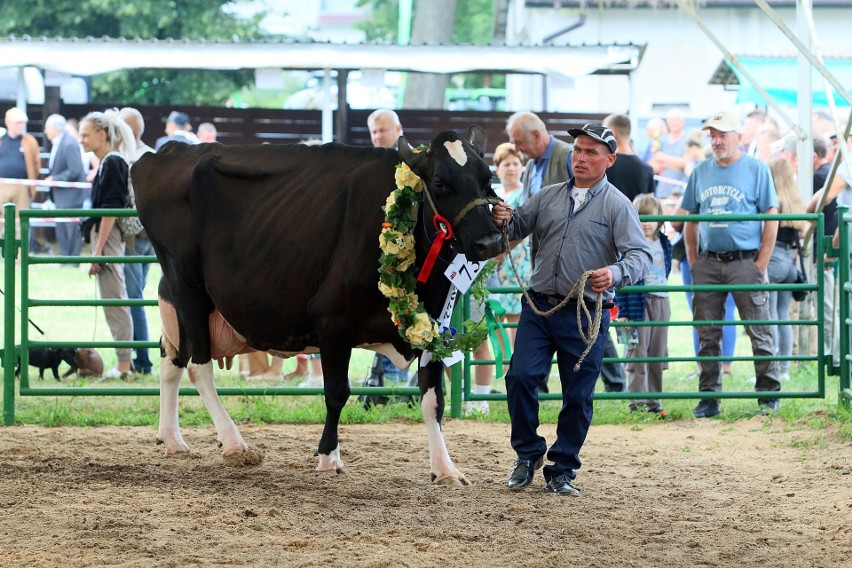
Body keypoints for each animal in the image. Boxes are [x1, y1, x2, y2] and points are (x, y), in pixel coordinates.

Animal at [133, 127, 506, 484]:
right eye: (440, 183)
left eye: (488, 178)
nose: (490, 241)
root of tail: (168, 151)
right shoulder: (332, 322)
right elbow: (337, 392)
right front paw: (329, 457)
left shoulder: (433, 328)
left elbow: (433, 400)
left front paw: (445, 469)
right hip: (188, 286)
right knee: (198, 365)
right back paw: (234, 442)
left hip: (177, 300)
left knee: (171, 357)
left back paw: (172, 438)